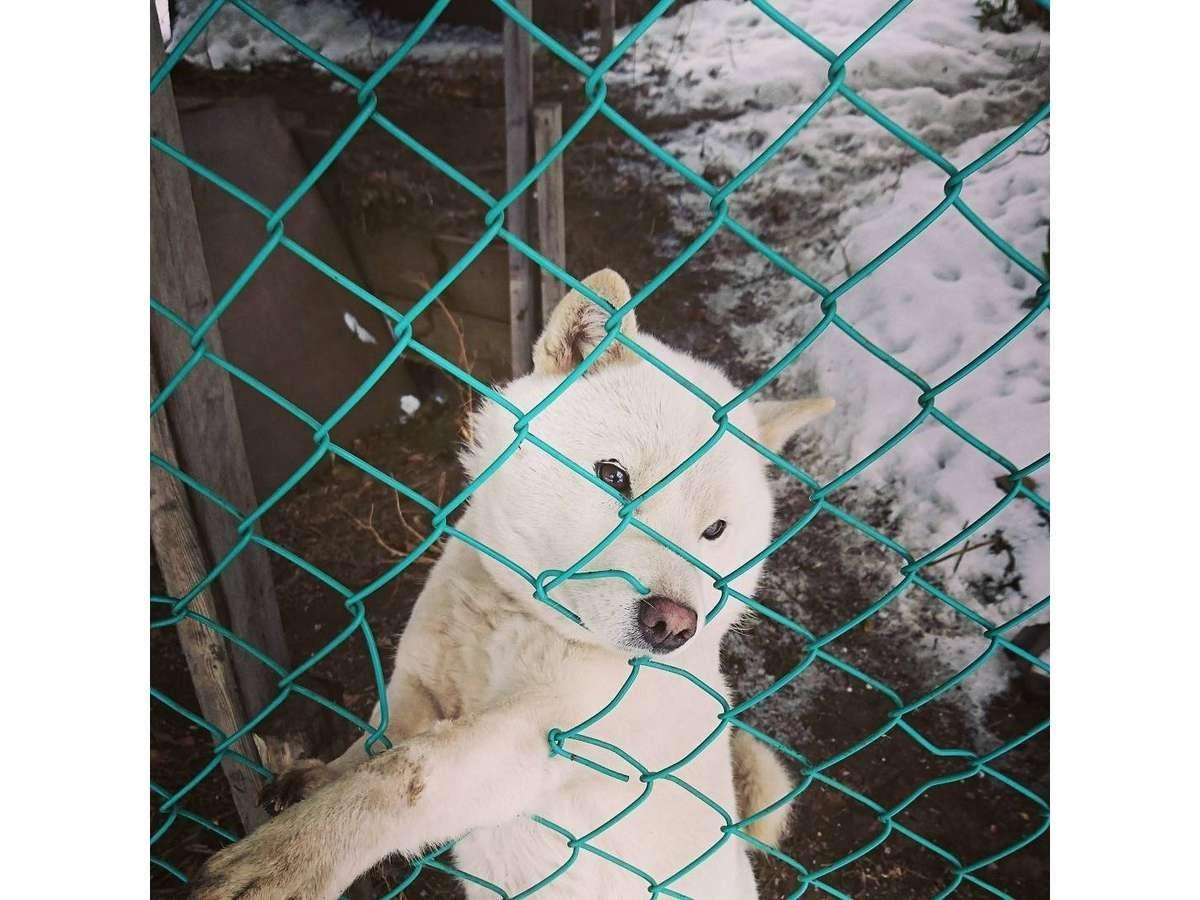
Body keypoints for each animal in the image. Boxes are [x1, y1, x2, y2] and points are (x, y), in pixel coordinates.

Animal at [196, 270, 835, 900]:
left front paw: (291, 859)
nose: (673, 624)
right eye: (614, 476)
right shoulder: (418, 684)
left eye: (715, 530)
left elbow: (404, 775)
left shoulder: (531, 741)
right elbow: (376, 744)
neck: (514, 618)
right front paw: (315, 782)